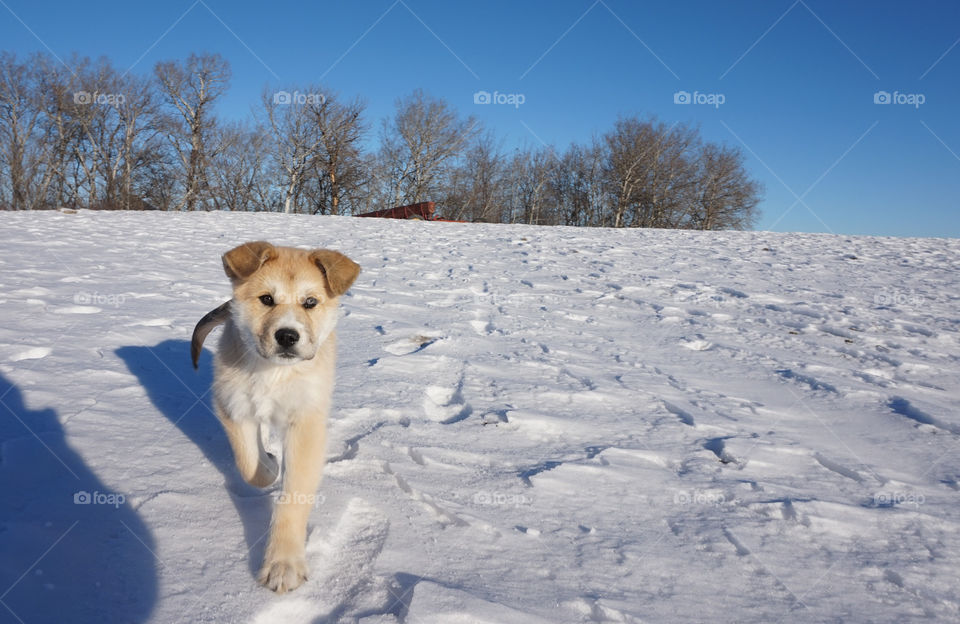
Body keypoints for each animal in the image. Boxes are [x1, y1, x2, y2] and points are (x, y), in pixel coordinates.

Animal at [190, 241, 360, 592]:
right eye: (267, 299)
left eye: (310, 302)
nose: (287, 336)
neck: (275, 373)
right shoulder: (232, 405)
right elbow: (250, 465)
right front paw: (269, 464)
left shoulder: (305, 421)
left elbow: (293, 498)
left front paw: (283, 565)